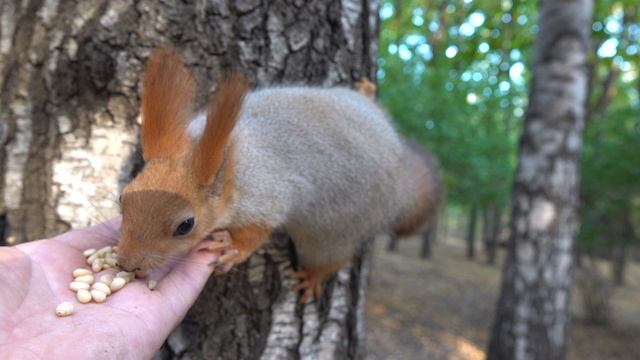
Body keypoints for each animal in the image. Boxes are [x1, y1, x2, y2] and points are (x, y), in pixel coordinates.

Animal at [117, 47, 402, 300]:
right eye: (122, 198)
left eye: (185, 225)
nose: (126, 264)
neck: (233, 168)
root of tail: (390, 139)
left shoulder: (267, 196)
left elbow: (258, 231)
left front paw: (232, 246)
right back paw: (367, 89)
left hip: (332, 233)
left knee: (330, 258)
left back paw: (313, 277)